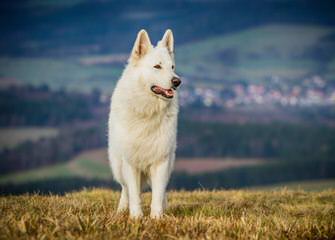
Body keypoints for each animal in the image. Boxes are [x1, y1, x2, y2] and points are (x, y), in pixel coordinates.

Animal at [107, 29, 181, 218]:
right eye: (157, 67)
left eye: (172, 67)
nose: (177, 81)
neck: (147, 112)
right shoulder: (130, 162)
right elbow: (134, 193)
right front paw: (136, 217)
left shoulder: (161, 160)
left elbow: (158, 193)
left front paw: (157, 218)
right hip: (118, 166)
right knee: (125, 189)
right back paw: (121, 210)